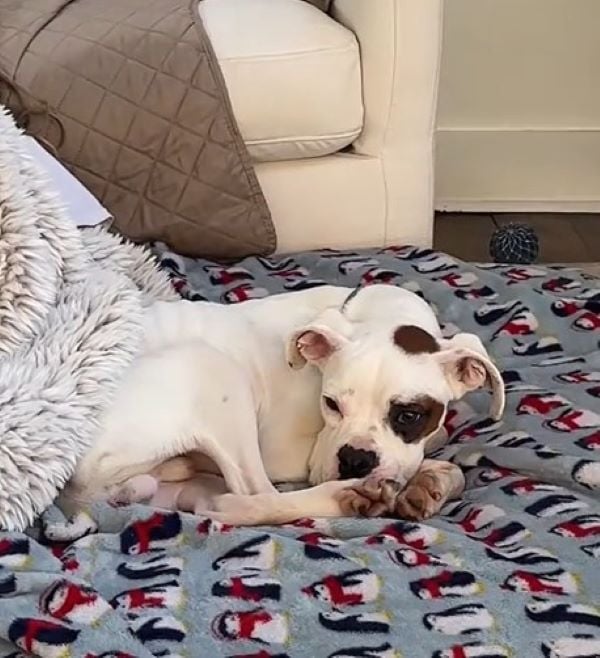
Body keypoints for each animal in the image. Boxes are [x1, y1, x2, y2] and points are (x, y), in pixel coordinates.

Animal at [58, 284, 504, 524]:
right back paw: (347, 497)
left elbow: (442, 461)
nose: (355, 460)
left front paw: (428, 485)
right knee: (256, 496)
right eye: (330, 403)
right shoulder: (289, 455)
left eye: (408, 415)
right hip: (212, 370)